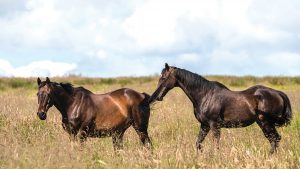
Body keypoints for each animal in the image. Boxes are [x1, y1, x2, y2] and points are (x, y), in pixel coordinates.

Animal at [150, 63, 292, 153]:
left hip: (266, 122)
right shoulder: (204, 125)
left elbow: (216, 144)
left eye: (163, 78)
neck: (205, 95)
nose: (156, 96)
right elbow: (198, 143)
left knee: (275, 139)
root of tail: (279, 93)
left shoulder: (214, 125)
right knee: (274, 140)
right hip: (263, 123)